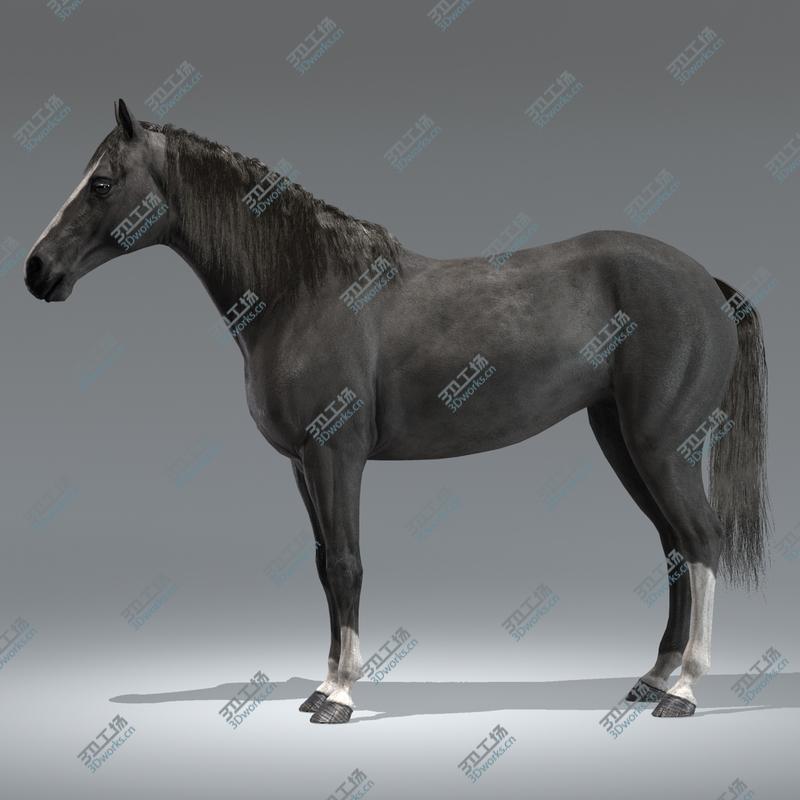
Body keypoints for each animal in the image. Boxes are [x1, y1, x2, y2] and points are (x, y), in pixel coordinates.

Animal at [24, 99, 770, 724]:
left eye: (101, 183)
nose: (36, 270)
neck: (303, 289)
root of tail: (705, 283)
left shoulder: (337, 454)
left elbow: (347, 564)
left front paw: (338, 696)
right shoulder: (302, 464)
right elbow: (323, 564)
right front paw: (322, 684)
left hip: (662, 444)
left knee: (700, 540)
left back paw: (682, 690)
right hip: (620, 440)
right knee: (673, 546)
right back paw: (653, 677)